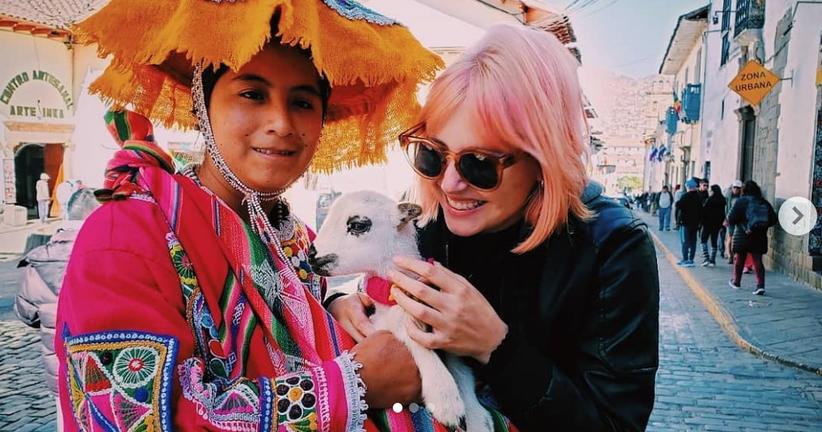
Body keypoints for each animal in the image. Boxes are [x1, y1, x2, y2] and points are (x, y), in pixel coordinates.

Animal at [309, 190, 493, 431]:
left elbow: (462, 371)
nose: (311, 254)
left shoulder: (452, 339)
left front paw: (477, 418)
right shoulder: (381, 324)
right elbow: (411, 336)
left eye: (358, 225)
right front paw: (445, 399)